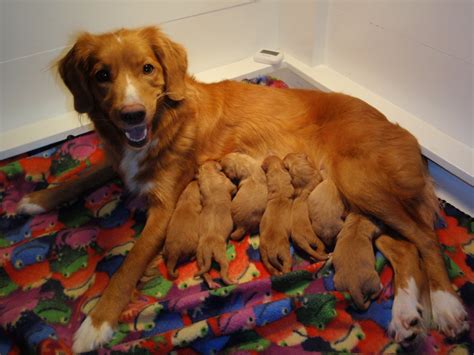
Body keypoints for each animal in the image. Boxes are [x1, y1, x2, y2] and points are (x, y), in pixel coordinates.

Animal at [16, 26, 468, 352]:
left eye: (147, 68)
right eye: (102, 76)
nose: (132, 114)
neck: (163, 120)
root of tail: (404, 131)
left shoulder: (165, 208)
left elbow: (129, 264)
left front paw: (96, 325)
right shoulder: (123, 163)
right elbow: (85, 175)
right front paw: (35, 200)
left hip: (362, 184)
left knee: (426, 239)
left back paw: (446, 305)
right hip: (361, 203)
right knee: (404, 247)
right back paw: (405, 315)